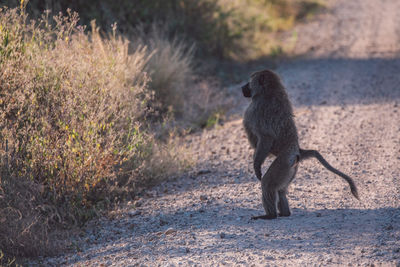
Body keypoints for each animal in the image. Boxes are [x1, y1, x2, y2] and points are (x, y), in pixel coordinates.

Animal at [242, 69, 360, 220]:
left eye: (249, 82)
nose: (242, 88)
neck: (268, 91)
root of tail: (297, 150)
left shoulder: (257, 109)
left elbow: (266, 137)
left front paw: (257, 167)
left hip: (284, 162)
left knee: (268, 184)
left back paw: (270, 215)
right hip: (291, 169)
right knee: (281, 189)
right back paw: (284, 213)